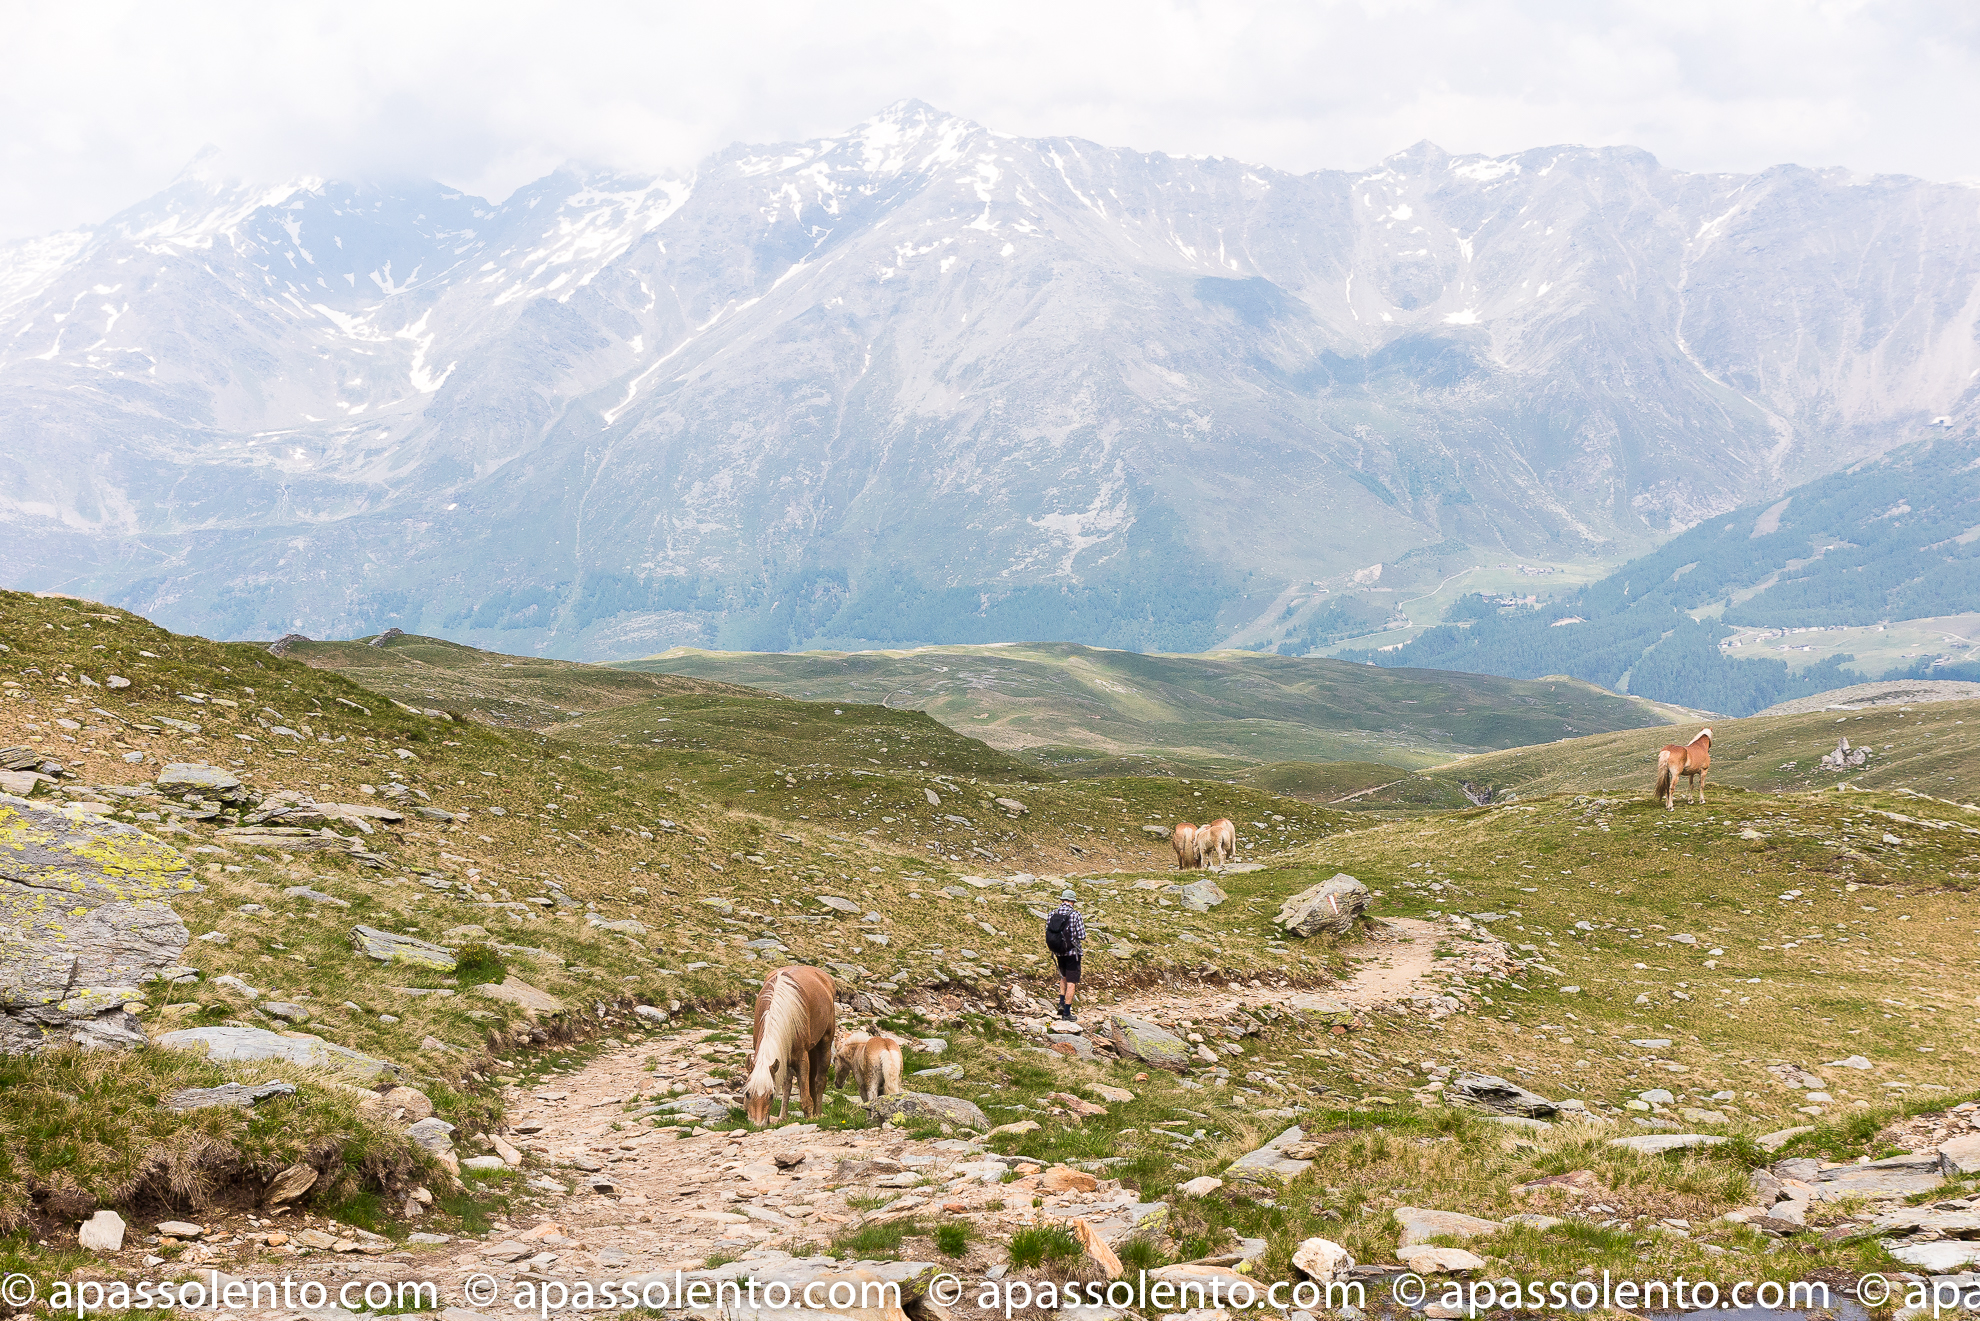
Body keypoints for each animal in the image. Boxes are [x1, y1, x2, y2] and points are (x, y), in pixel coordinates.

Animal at [744, 962, 835, 1124]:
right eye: (748, 1094)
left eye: (771, 1096)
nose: (758, 1124)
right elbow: (786, 1084)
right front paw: (782, 1117)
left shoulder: (802, 1058)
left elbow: (805, 1097)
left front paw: (809, 1117)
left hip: (825, 1044)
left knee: (819, 1081)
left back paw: (817, 1113)